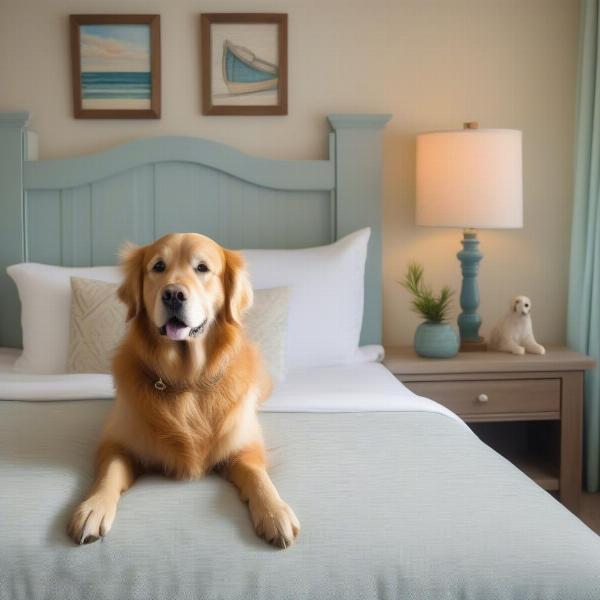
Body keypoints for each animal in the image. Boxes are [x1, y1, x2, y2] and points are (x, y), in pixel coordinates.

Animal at [67, 233, 300, 548]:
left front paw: (275, 512)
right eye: (158, 266)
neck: (187, 381)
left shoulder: (244, 447)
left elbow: (258, 477)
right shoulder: (116, 444)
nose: (173, 294)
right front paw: (92, 507)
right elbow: (108, 474)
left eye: (202, 268)